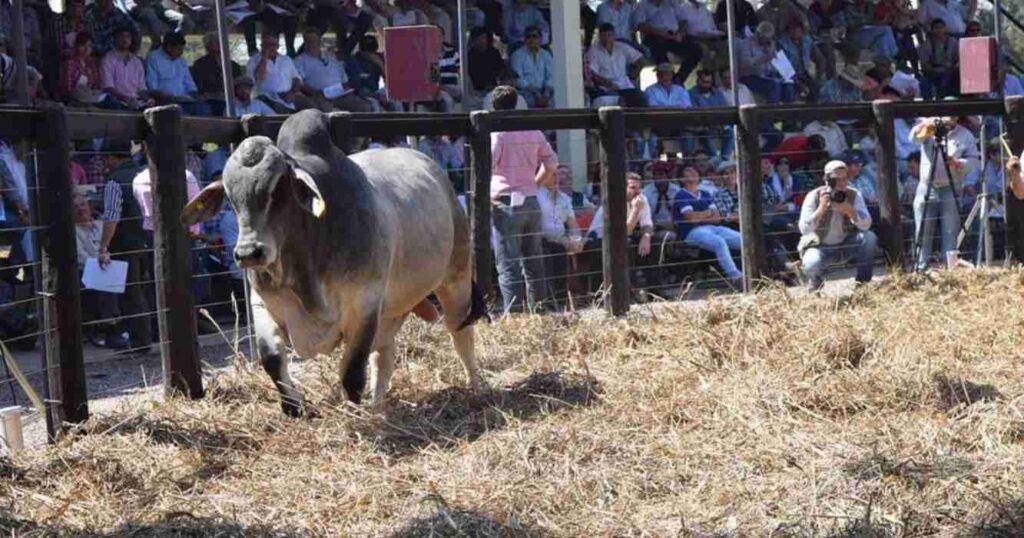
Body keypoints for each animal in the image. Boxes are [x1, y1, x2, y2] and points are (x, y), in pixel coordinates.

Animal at [182, 107, 489, 414]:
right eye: (230, 196)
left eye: (277, 188)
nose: (248, 252)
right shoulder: (262, 303)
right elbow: (271, 358)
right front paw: (294, 406)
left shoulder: (365, 305)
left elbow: (351, 373)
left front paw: (354, 413)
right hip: (392, 309)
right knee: (384, 356)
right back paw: (378, 405)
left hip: (456, 278)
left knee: (461, 333)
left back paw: (476, 388)